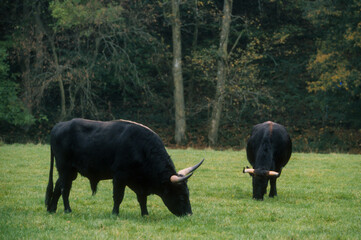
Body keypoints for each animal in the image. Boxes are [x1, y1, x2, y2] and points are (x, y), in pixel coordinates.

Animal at [45, 119, 202, 217]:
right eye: (181, 195)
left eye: (188, 194)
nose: (189, 214)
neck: (142, 149)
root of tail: (59, 125)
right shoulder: (119, 176)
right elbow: (118, 196)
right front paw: (115, 213)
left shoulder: (139, 182)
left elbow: (142, 199)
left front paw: (145, 214)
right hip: (64, 168)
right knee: (65, 189)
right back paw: (67, 210)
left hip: (70, 171)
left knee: (58, 186)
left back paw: (52, 209)